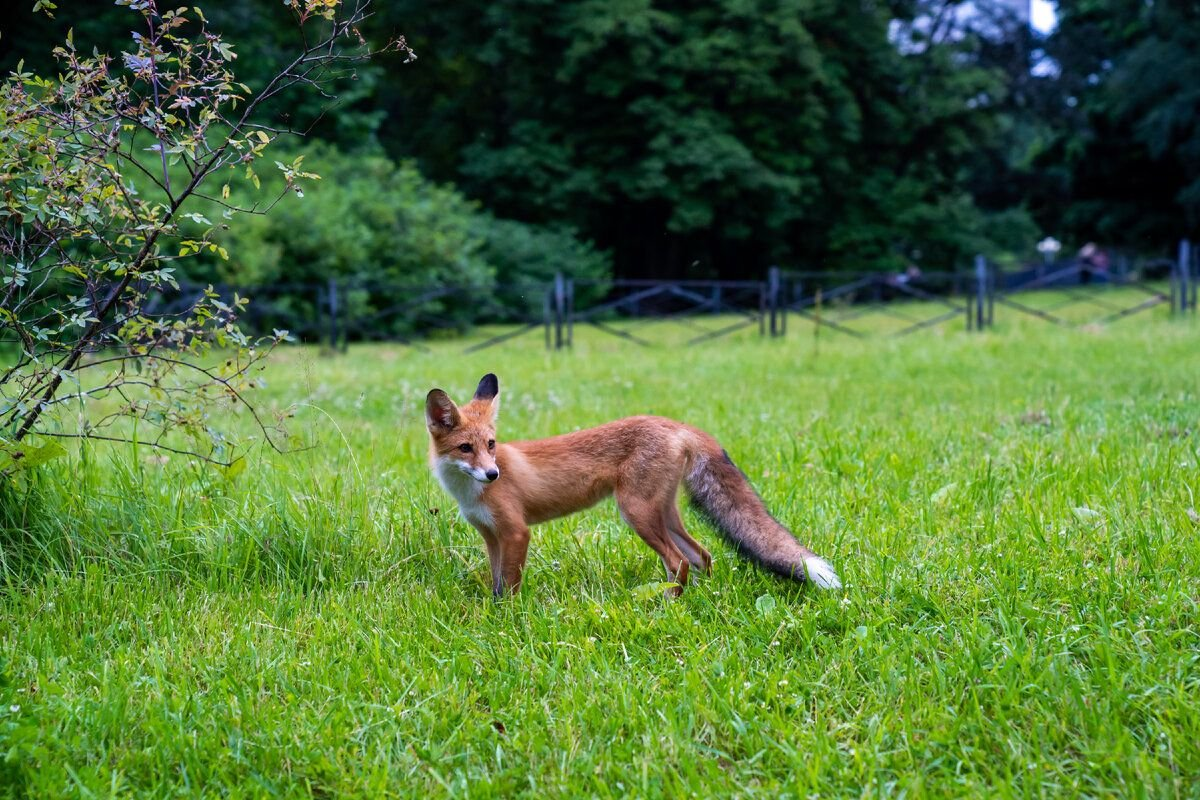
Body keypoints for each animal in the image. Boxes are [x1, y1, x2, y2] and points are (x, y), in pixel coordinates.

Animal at [427, 374, 840, 594]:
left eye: (491, 445)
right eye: (466, 448)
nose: (493, 474)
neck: (470, 493)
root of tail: (676, 424)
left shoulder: (516, 532)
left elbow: (509, 586)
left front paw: (509, 620)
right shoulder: (491, 536)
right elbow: (496, 583)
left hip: (636, 513)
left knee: (679, 561)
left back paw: (668, 606)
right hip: (664, 513)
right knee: (701, 555)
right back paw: (700, 596)